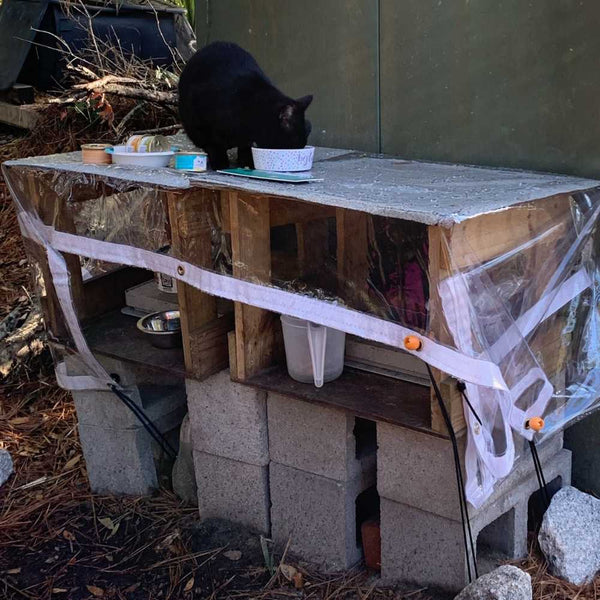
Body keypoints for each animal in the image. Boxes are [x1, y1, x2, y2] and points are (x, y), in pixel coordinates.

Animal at [178, 42, 312, 169]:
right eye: (294, 143)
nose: (300, 148)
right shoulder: (202, 124)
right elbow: (213, 145)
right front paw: (220, 163)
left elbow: (245, 149)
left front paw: (245, 163)